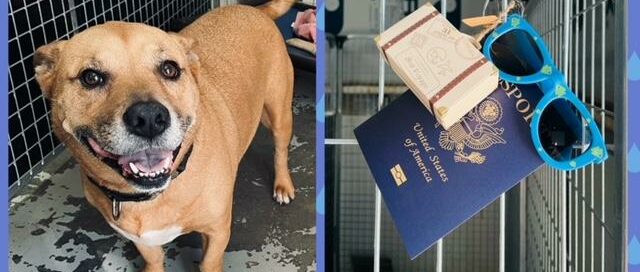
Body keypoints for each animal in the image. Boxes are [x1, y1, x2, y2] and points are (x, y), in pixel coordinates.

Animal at [33, 1, 298, 270]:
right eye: (91, 77)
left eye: (169, 69)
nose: (149, 119)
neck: (150, 196)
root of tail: (255, 10)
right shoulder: (143, 239)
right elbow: (154, 259)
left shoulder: (217, 232)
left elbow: (208, 262)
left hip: (278, 115)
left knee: (280, 149)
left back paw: (283, 185)